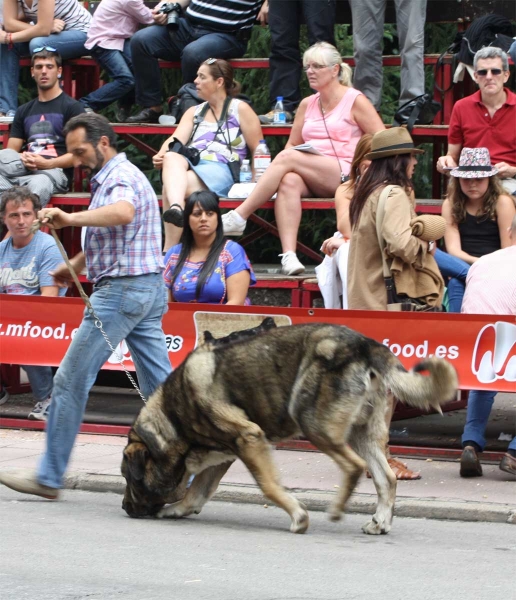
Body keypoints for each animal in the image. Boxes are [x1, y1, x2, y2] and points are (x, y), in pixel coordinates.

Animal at [123, 324, 458, 536]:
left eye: (129, 478)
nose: (125, 507)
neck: (172, 415)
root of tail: (365, 344)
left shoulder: (250, 440)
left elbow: (269, 486)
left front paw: (299, 516)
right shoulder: (226, 454)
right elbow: (197, 493)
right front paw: (177, 508)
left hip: (314, 423)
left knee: (353, 466)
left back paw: (338, 509)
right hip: (361, 433)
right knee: (386, 478)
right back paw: (379, 522)